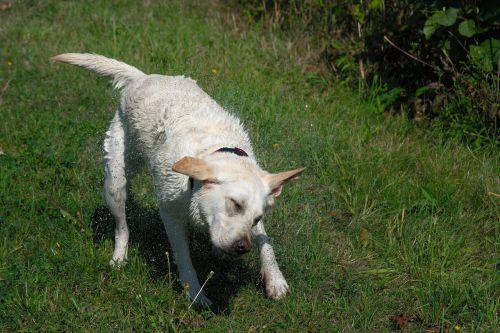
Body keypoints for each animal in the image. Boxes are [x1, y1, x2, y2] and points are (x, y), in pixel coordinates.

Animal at [53, 53, 304, 304]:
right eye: (234, 204)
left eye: (256, 217)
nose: (243, 247)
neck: (213, 151)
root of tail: (143, 77)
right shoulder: (171, 215)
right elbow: (183, 257)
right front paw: (195, 294)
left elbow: (264, 241)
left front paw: (275, 279)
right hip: (115, 181)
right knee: (122, 228)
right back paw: (119, 257)